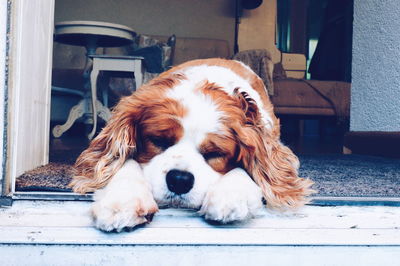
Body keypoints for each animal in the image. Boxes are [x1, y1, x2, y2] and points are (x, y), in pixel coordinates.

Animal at [71, 57, 316, 231]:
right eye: (158, 141)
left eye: (215, 153)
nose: (179, 180)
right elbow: (123, 162)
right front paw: (123, 199)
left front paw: (231, 194)